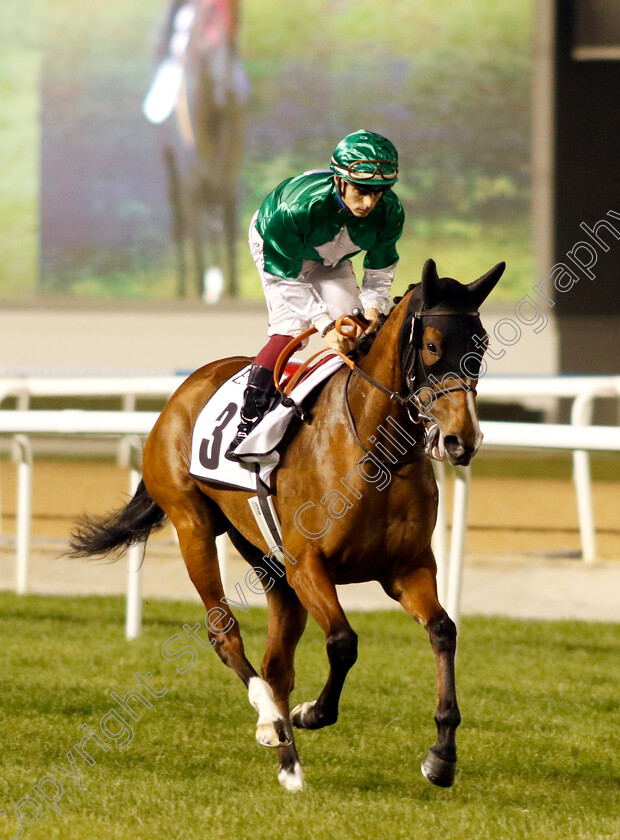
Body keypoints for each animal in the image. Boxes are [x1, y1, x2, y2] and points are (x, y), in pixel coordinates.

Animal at [69, 260, 504, 792]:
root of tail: (185, 389)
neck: (377, 451)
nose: (462, 440)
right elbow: (343, 643)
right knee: (224, 633)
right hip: (193, 526)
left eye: (480, 345)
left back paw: (290, 765)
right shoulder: (307, 565)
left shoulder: (408, 568)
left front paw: (441, 753)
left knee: (277, 663)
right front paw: (309, 713)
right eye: (434, 346)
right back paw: (270, 719)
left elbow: (443, 630)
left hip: (267, 561)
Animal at [152, 0, 245, 300]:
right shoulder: (192, 177)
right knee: (182, 219)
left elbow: (228, 223)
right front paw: (201, 284)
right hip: (173, 168)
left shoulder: (228, 173)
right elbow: (196, 233)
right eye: (203, 37)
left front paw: (231, 288)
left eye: (232, 36)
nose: (227, 90)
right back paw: (186, 285)